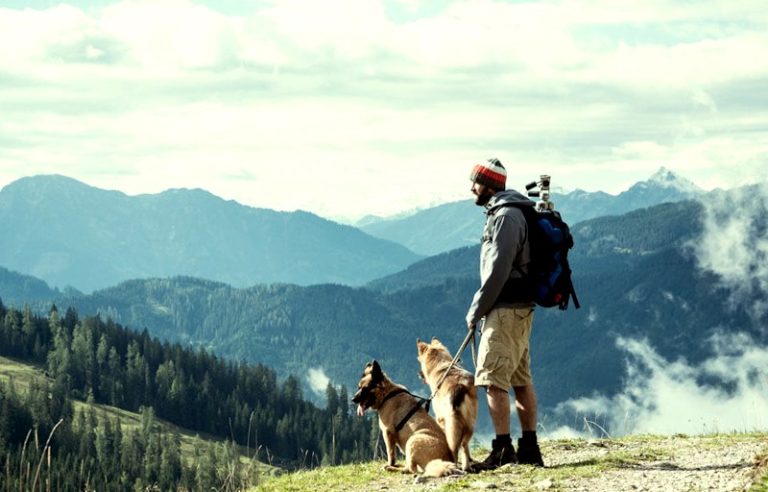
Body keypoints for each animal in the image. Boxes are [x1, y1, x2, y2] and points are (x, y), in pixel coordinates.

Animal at [416, 338, 476, 468]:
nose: (418, 374)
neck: (442, 364)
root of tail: (458, 386)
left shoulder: (440, 418)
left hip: (451, 422)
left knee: (454, 445)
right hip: (470, 422)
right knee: (464, 444)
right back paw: (466, 466)